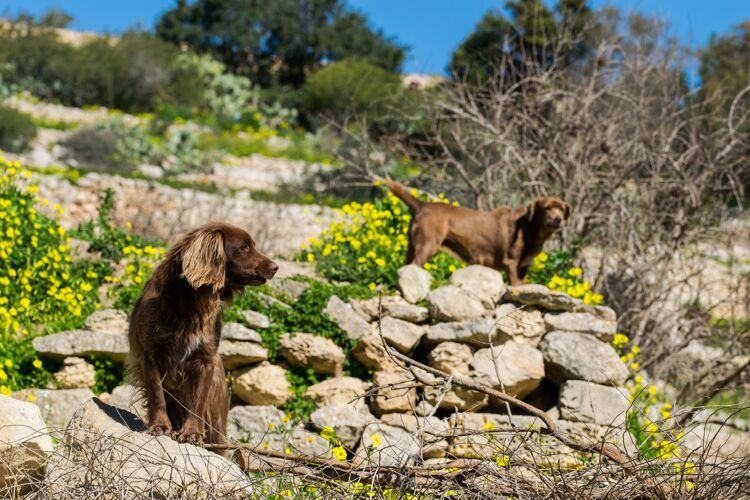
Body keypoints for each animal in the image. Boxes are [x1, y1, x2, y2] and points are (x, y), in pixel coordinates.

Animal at [126, 223, 280, 450]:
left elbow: (197, 401)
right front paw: (160, 426)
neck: (191, 304)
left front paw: (192, 434)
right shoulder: (151, 354)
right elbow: (156, 393)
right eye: (244, 247)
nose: (275, 267)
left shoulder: (205, 359)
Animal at [390, 181, 572, 286]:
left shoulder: (523, 266)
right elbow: (515, 285)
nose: (558, 219)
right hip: (427, 244)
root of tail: (422, 204)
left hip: (411, 246)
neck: (531, 228)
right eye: (547, 208)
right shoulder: (511, 263)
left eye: (562, 209)